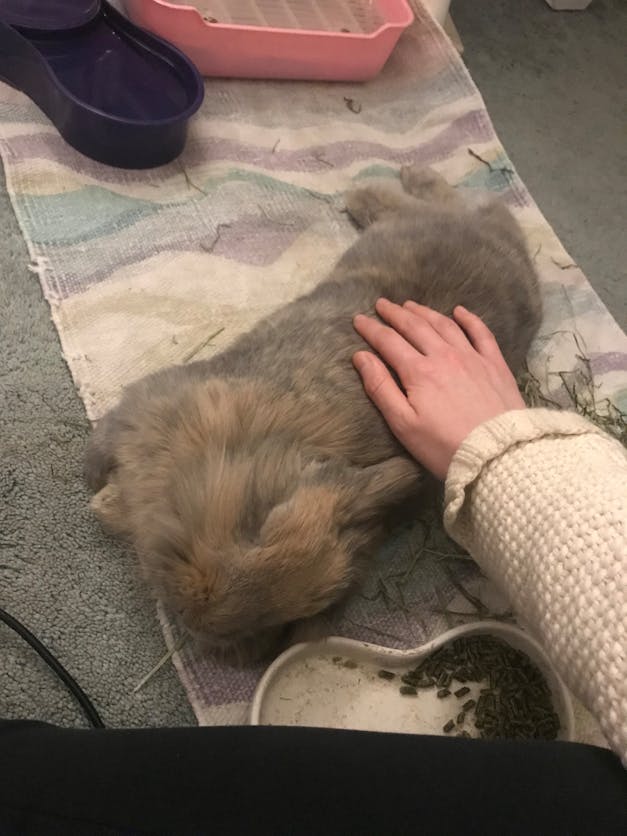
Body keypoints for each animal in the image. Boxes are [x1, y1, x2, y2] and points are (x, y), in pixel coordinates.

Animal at [86, 165, 542, 661]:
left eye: (284, 617)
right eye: (259, 521)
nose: (196, 617)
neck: (261, 445)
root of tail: (506, 251)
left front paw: (99, 503)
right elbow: (101, 450)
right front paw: (95, 490)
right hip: (417, 223)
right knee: (446, 201)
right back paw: (378, 187)